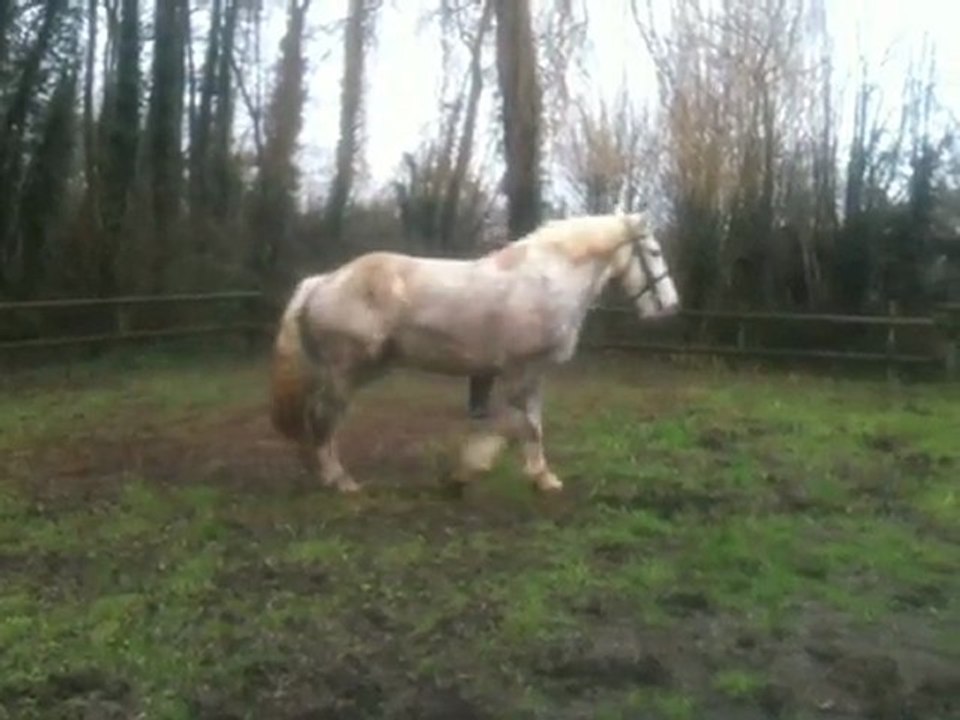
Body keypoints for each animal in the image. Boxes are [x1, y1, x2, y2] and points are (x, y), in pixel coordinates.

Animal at [269, 210, 680, 494]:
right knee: (324, 417)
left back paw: (317, 469)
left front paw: (543, 478)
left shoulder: (533, 374)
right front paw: (469, 471)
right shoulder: (518, 371)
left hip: (350, 370)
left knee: (316, 417)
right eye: (654, 251)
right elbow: (517, 426)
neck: (547, 280)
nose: (671, 307)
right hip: (347, 371)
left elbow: (532, 425)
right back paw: (340, 480)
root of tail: (321, 282)